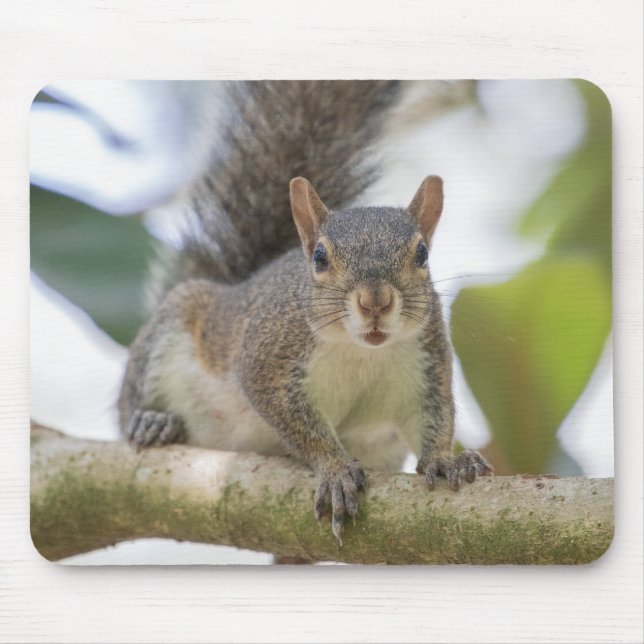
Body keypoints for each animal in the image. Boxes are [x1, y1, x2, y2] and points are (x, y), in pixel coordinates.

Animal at [118, 81, 493, 543]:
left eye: (422, 254)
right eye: (319, 257)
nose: (375, 301)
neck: (360, 351)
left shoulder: (427, 363)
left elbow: (435, 416)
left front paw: (445, 459)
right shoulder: (269, 357)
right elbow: (295, 422)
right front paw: (334, 469)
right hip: (173, 325)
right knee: (129, 404)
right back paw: (150, 422)